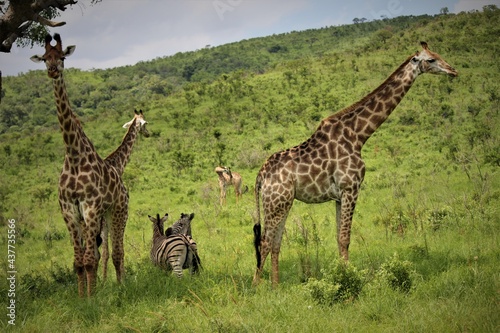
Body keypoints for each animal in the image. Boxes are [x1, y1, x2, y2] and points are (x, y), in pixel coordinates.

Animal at [29, 33, 130, 296]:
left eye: (62, 57)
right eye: (45, 58)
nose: (53, 70)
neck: (73, 156)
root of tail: (123, 187)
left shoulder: (90, 206)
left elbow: (89, 260)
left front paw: (93, 299)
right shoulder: (69, 210)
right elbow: (78, 262)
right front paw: (82, 298)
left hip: (118, 211)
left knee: (118, 252)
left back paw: (121, 286)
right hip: (98, 217)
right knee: (100, 253)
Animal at [99, 107, 149, 278]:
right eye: (146, 124)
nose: (148, 134)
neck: (119, 165)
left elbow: (107, 252)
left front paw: (107, 279)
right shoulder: (122, 213)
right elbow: (119, 249)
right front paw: (123, 277)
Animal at [254, 41, 458, 286]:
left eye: (438, 54)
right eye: (431, 59)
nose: (453, 71)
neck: (359, 134)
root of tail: (260, 176)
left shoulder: (339, 195)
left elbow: (338, 237)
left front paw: (343, 273)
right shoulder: (351, 187)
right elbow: (345, 238)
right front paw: (347, 277)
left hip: (282, 202)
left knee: (275, 242)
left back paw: (275, 286)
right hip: (275, 202)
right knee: (265, 242)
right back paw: (257, 287)